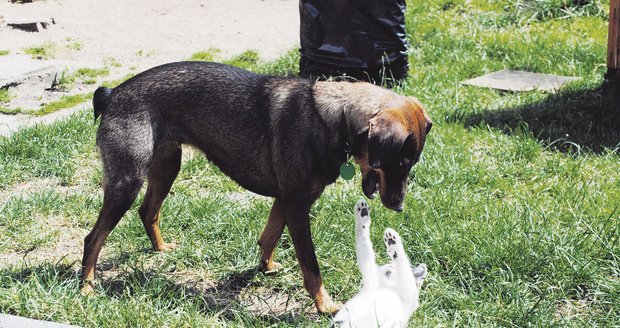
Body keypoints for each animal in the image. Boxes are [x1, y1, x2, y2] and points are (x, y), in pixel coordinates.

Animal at [81, 60, 432, 314]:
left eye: (411, 163)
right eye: (401, 162)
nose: (399, 207)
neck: (333, 117)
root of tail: (112, 93)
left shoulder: (285, 201)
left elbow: (269, 236)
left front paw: (266, 268)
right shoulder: (297, 206)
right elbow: (311, 266)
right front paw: (325, 306)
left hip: (167, 166)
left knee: (147, 210)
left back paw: (159, 248)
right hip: (127, 182)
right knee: (93, 238)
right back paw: (86, 285)